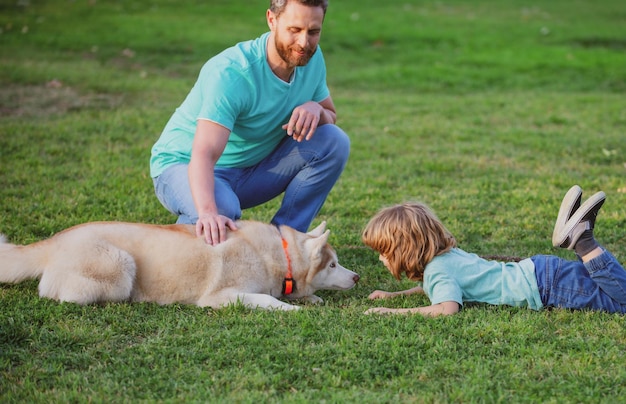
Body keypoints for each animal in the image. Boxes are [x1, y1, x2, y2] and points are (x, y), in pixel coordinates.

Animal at [0, 219, 358, 310]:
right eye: (333, 265)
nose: (356, 277)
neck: (278, 254)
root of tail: (54, 240)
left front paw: (311, 297)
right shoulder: (221, 297)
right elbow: (268, 300)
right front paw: (292, 308)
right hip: (120, 267)